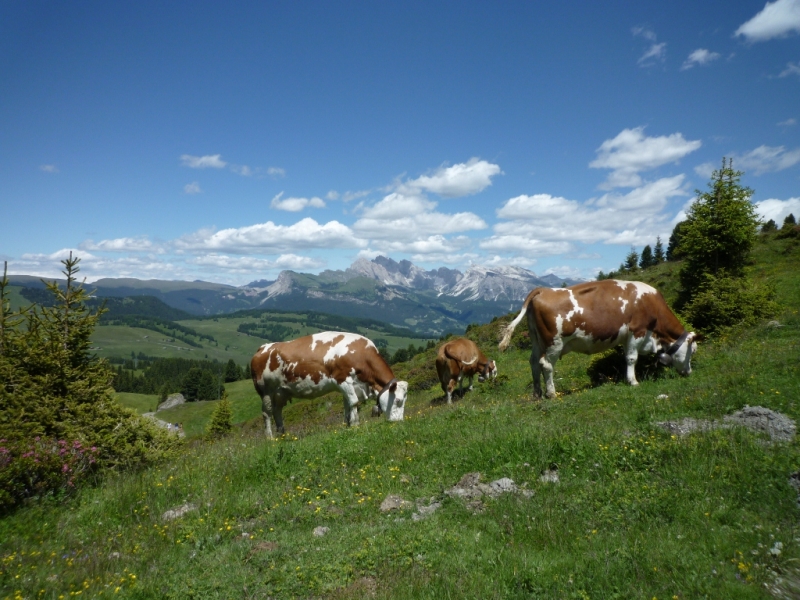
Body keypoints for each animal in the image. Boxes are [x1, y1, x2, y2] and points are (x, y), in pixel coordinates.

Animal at [250, 330, 410, 438]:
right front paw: (356, 425)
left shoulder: (350, 386)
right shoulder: (342, 380)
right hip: (266, 391)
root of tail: (263, 348)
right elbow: (354, 402)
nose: (399, 423)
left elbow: (347, 405)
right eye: (398, 400)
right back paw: (270, 438)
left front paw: (347, 425)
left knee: (277, 411)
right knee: (267, 413)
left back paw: (282, 435)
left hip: (280, 392)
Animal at [496, 280, 696, 398]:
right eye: (693, 351)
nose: (689, 372)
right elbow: (632, 358)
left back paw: (537, 393)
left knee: (533, 362)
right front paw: (633, 381)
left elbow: (626, 357)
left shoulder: (627, 337)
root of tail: (543, 290)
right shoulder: (637, 331)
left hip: (537, 339)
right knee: (545, 364)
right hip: (554, 342)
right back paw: (552, 393)